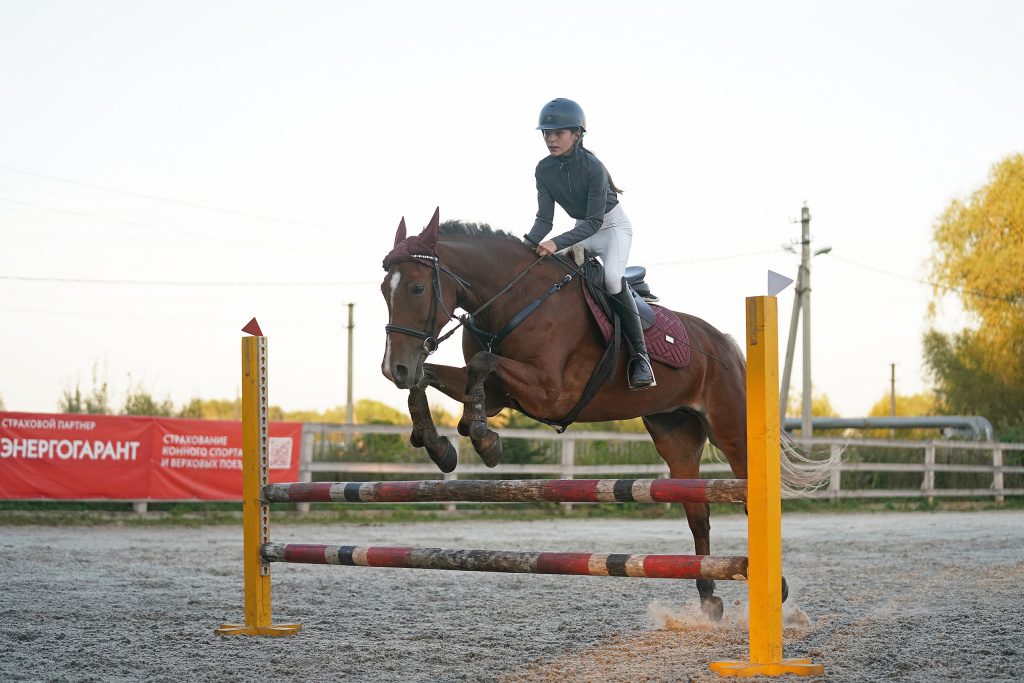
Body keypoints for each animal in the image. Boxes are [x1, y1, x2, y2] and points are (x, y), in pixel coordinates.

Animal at [380, 208, 827, 618]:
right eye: (386, 289)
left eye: (417, 288)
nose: (393, 369)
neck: (512, 300)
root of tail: (726, 344)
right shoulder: (497, 397)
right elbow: (435, 379)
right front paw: (437, 444)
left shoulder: (550, 392)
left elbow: (481, 365)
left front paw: (484, 440)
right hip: (676, 438)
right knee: (697, 512)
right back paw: (707, 598)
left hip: (732, 432)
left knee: (749, 499)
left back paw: (775, 589)